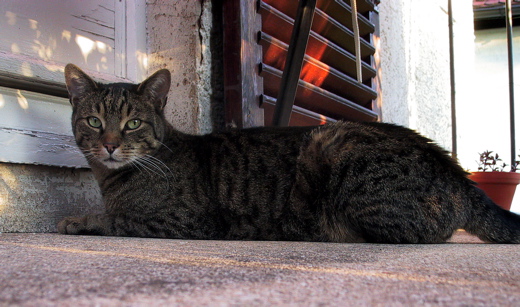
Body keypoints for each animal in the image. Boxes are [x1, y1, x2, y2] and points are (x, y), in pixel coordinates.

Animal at [59, 63, 520, 244]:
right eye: (95, 121)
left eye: (133, 123)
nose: (110, 143)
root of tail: (458, 176)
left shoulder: (184, 221)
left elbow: (117, 220)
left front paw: (76, 219)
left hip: (332, 142)